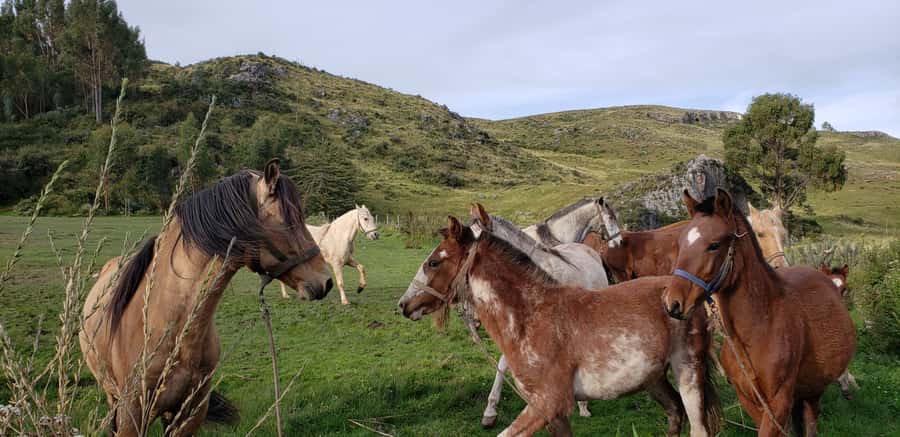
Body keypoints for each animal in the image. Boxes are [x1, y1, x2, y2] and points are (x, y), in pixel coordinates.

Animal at [662, 189, 856, 436]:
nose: (672, 303)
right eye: (680, 243)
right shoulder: (749, 400)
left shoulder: (779, 401)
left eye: (714, 244)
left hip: (813, 392)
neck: (759, 328)